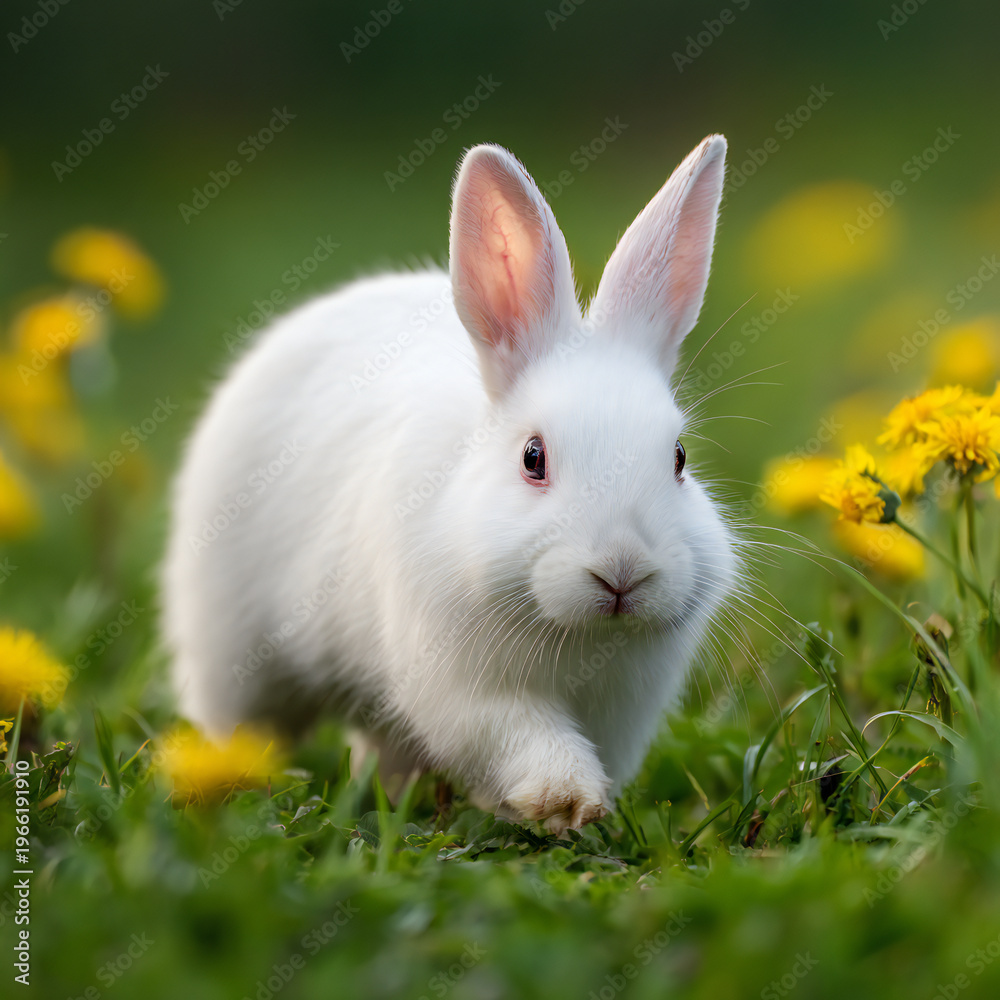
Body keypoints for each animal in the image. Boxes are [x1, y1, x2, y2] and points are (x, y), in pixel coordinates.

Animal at [161, 134, 738, 834]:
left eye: (679, 457)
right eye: (533, 458)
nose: (622, 572)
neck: (570, 632)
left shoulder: (624, 709)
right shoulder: (464, 690)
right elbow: (524, 738)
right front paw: (564, 801)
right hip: (231, 648)